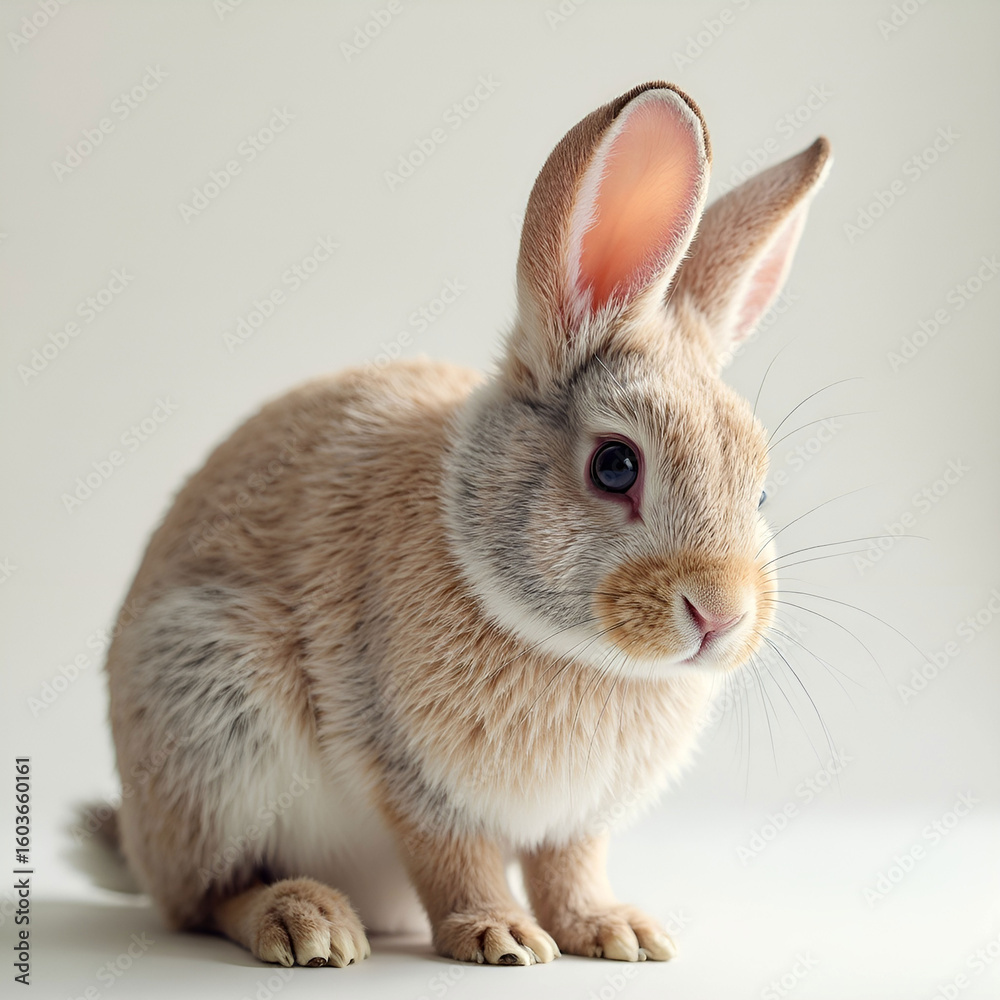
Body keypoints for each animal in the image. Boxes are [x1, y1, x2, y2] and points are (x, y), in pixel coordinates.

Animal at [104, 80, 831, 969]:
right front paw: (502, 937)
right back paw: (308, 923)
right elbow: (456, 860)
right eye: (615, 466)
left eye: (759, 492)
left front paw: (617, 933)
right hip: (209, 713)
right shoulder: (413, 770)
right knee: (204, 898)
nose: (721, 615)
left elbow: (569, 868)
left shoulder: (574, 820)